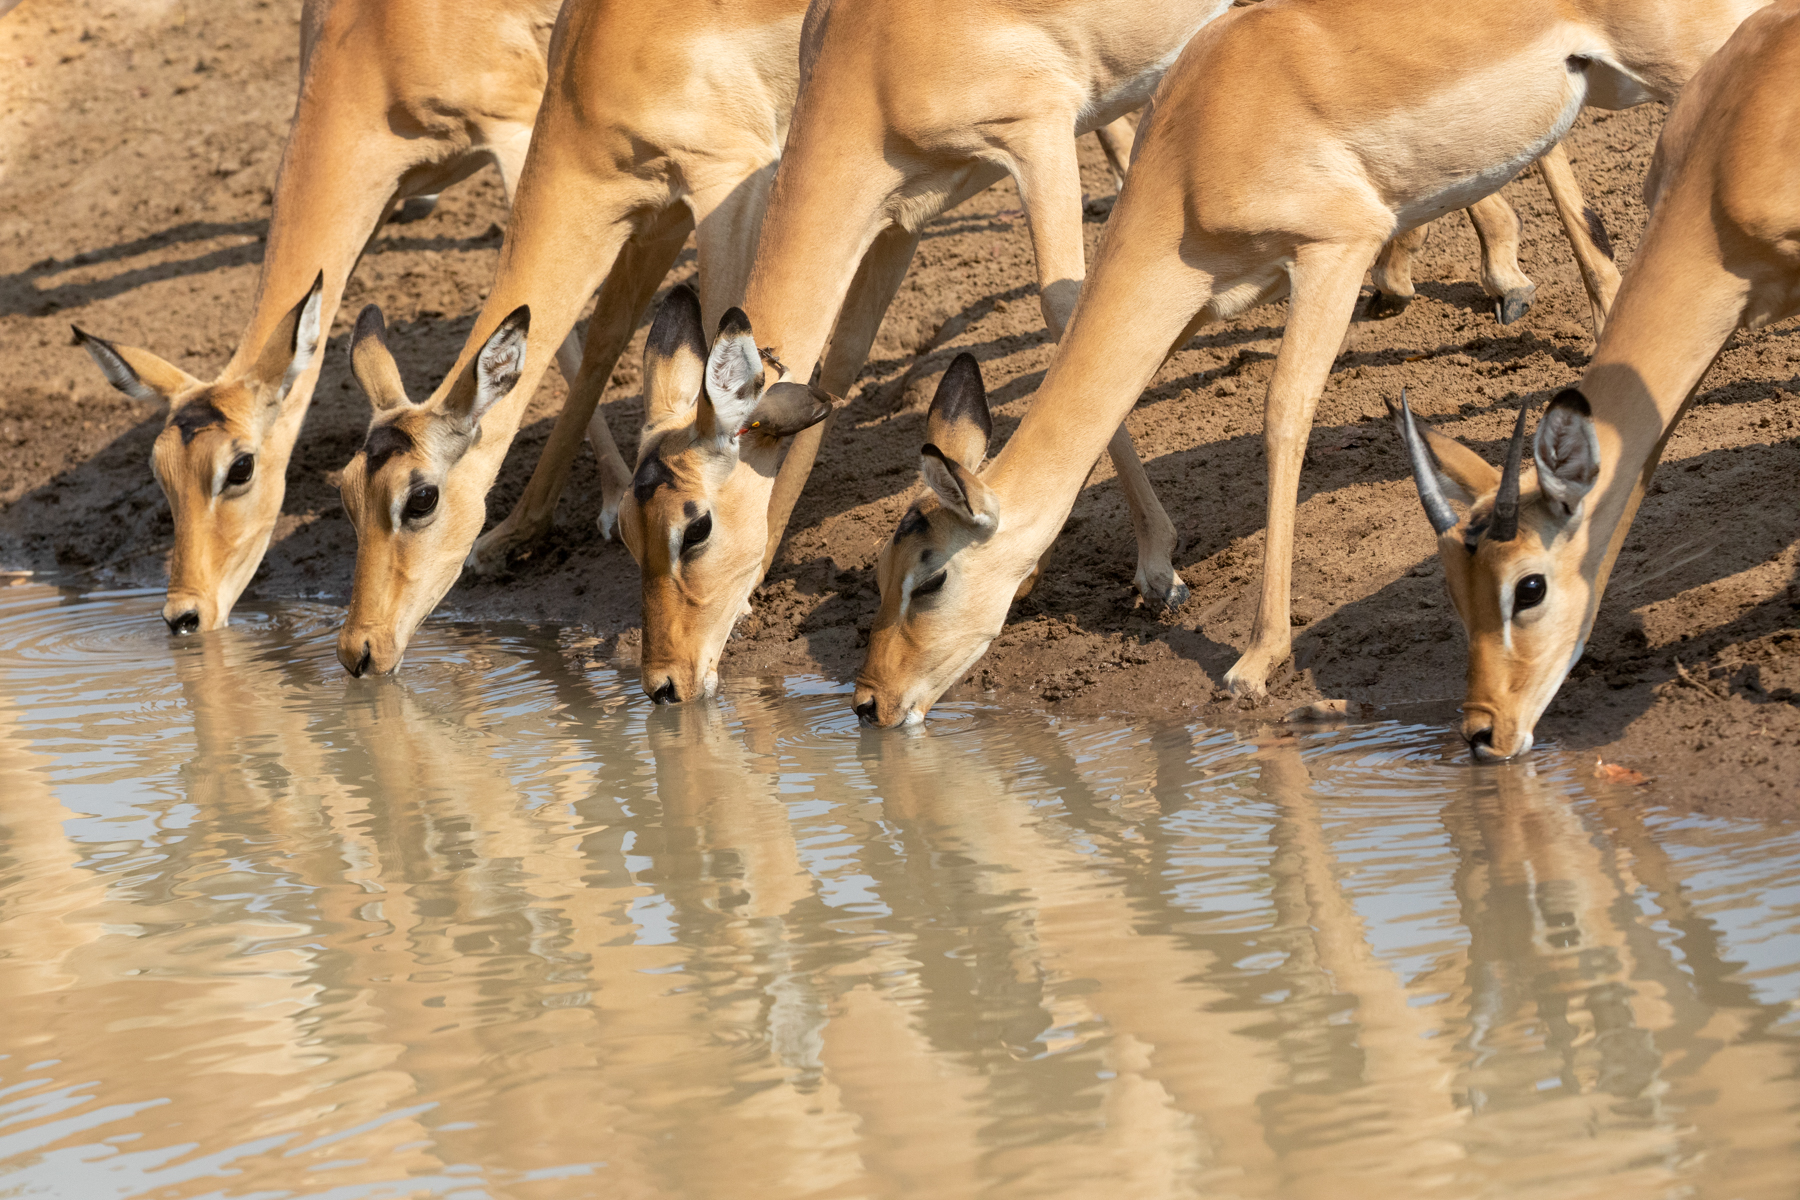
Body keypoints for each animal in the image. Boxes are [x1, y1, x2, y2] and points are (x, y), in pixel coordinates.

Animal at [72, 0, 580, 636]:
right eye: (159, 469)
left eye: (240, 468)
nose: (184, 615)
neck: (378, 40)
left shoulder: (517, 137)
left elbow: (565, 340)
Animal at [616, 0, 1604, 705]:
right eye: (625, 530)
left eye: (694, 528)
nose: (663, 681)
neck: (878, 54)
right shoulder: (902, 208)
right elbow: (838, 367)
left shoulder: (1039, 135)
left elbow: (1064, 308)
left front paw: (1164, 574)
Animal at [850, 0, 1772, 727]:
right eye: (882, 571)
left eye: (930, 580)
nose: (869, 703)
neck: (1199, 143)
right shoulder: (1204, 300)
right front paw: (1142, 574)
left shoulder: (1332, 254)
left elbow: (1283, 418)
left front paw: (1256, 660)